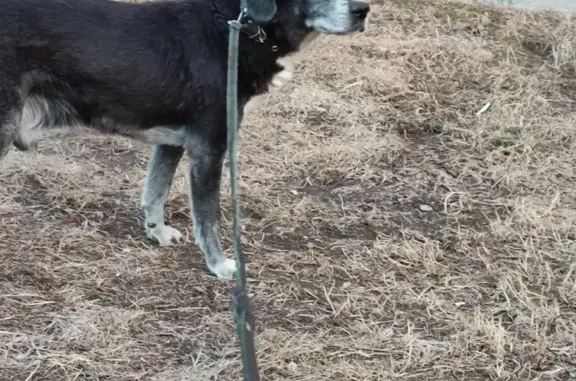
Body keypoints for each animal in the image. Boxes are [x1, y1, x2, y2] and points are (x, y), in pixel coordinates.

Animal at [0, 0, 368, 276]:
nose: (363, 9)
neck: (238, 27)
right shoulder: (209, 150)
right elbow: (207, 218)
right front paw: (219, 265)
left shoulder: (171, 143)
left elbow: (155, 192)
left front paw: (156, 232)